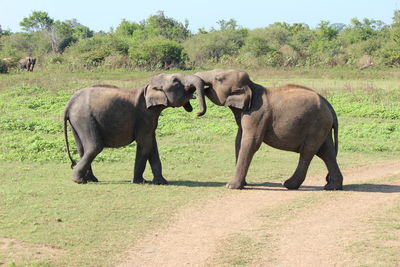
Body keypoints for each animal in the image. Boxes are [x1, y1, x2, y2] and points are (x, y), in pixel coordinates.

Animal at [63, 73, 206, 184]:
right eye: (176, 81)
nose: (197, 113)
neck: (148, 88)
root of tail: (69, 103)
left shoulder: (151, 118)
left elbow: (152, 144)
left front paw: (161, 182)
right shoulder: (144, 115)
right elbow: (145, 143)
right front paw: (139, 181)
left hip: (77, 121)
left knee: (82, 148)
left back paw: (91, 179)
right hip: (84, 118)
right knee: (94, 146)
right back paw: (79, 180)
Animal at [195, 69, 342, 191]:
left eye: (218, 79)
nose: (197, 113)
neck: (251, 85)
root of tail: (330, 106)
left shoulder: (257, 114)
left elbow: (251, 143)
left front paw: (231, 186)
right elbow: (239, 141)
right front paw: (243, 184)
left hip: (316, 125)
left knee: (308, 152)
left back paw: (288, 184)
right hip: (322, 127)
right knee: (326, 152)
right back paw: (332, 187)